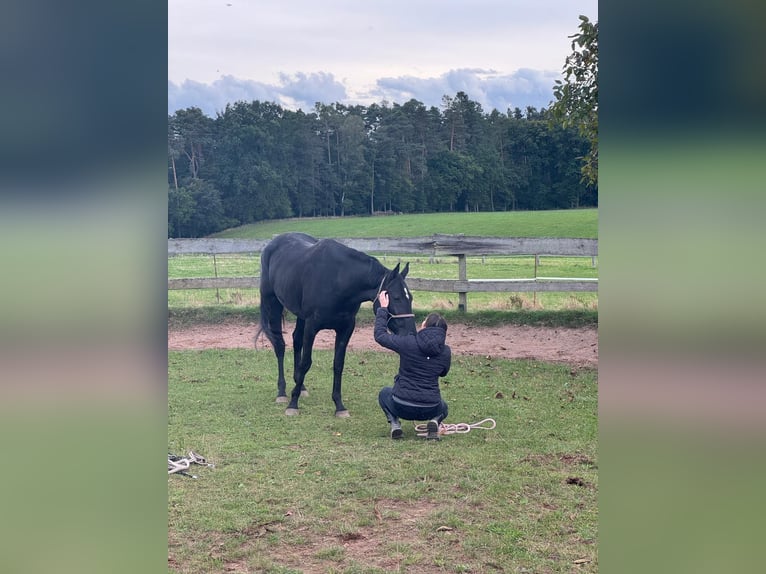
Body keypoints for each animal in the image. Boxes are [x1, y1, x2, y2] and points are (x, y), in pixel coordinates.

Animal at [257, 232, 417, 417]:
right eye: (396, 297)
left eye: (410, 298)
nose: (411, 334)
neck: (338, 279)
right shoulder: (312, 326)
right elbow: (306, 362)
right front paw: (292, 404)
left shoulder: (345, 328)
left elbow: (338, 364)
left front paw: (339, 406)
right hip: (273, 303)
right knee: (280, 345)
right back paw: (282, 392)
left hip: (300, 315)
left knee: (296, 341)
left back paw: (301, 386)